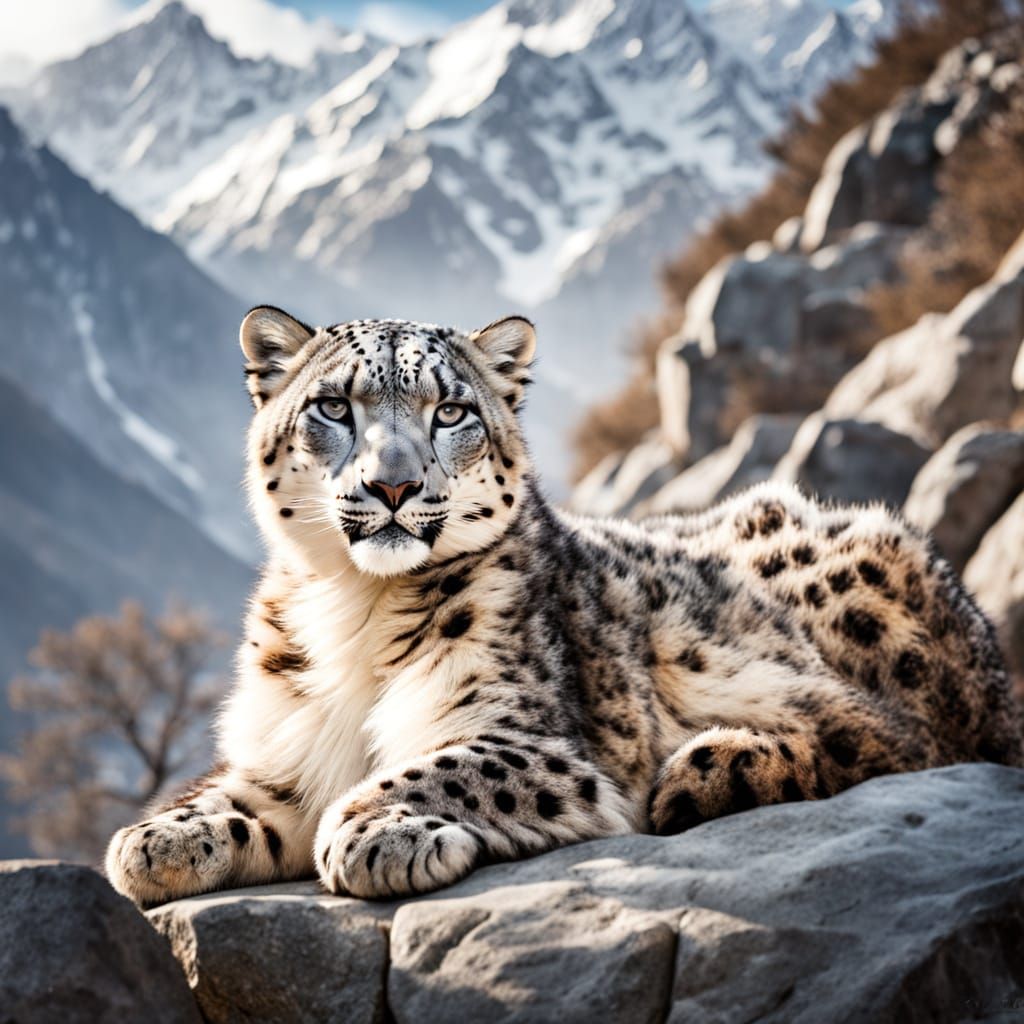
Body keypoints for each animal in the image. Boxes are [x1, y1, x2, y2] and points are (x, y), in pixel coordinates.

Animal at [106, 306, 1023, 906]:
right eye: (334, 405)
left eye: (451, 410)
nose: (393, 485)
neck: (355, 610)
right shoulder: (287, 756)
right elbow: (236, 797)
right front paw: (156, 840)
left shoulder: (536, 739)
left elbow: (425, 769)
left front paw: (381, 836)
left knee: (899, 740)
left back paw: (714, 766)